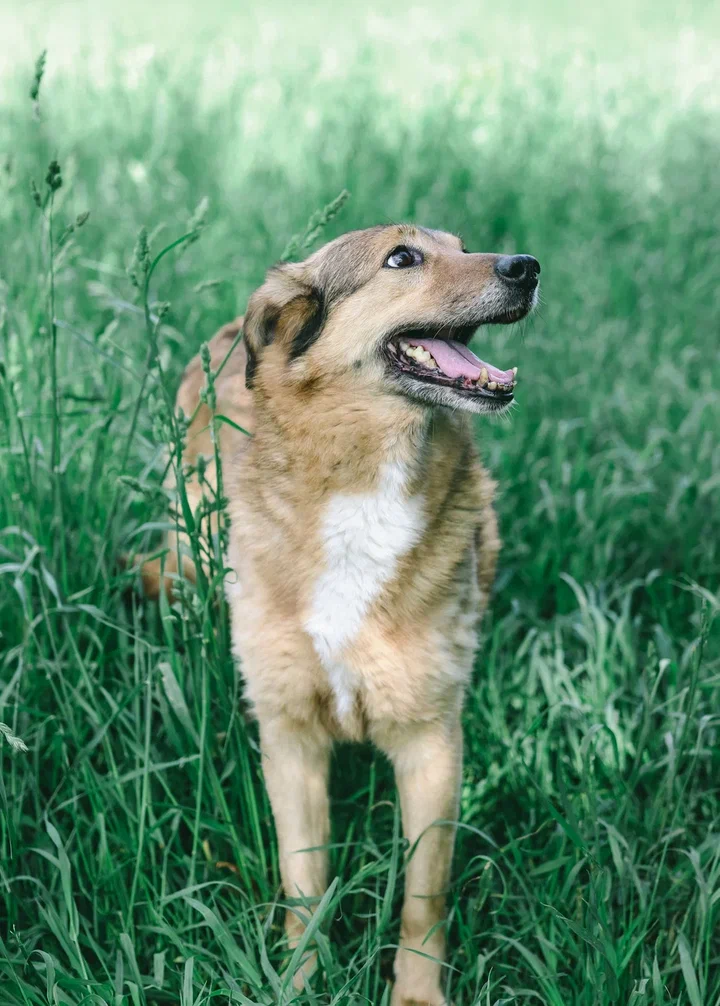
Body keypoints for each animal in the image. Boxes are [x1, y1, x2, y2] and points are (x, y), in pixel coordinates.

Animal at [137, 226, 538, 1006]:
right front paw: (298, 980)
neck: (362, 486)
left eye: (463, 245)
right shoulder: (289, 736)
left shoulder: (431, 742)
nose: (528, 266)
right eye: (403, 257)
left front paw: (417, 992)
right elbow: (304, 881)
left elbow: (422, 896)